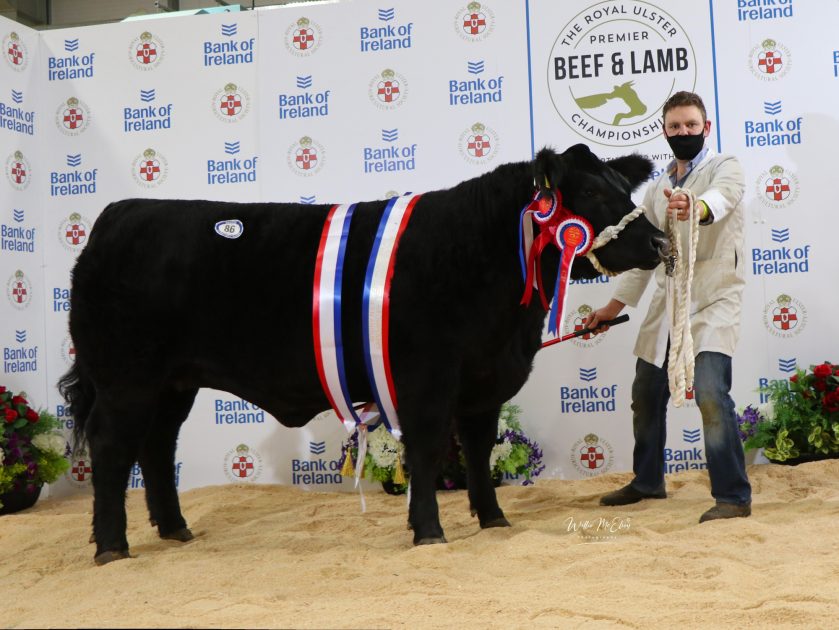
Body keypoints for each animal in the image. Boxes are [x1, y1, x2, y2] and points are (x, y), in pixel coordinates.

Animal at [59, 144, 668, 568]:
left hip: (173, 382)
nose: (661, 243)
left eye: (624, 188)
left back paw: (174, 528)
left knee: (158, 446)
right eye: (592, 196)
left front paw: (493, 520)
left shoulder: (483, 378)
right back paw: (111, 546)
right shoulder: (426, 377)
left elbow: (477, 448)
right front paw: (429, 531)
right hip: (126, 378)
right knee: (113, 448)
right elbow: (427, 450)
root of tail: (116, 215)